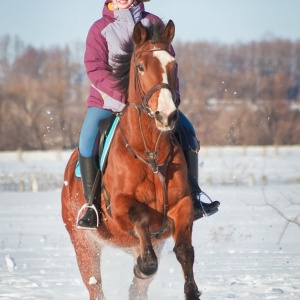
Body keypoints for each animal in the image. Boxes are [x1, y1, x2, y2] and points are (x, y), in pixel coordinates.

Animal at [61, 19, 200, 298]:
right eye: (140, 66)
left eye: (174, 65)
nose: (166, 115)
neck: (150, 153)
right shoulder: (120, 206)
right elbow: (141, 217)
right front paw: (145, 264)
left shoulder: (182, 205)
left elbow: (184, 251)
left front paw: (191, 290)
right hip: (84, 245)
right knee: (95, 284)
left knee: (138, 287)